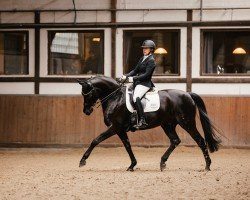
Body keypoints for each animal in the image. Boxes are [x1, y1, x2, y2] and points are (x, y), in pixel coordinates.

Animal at [76, 76, 221, 171]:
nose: (86, 111)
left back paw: (207, 166)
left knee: (200, 141)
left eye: (87, 94)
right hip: (167, 124)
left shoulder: (115, 127)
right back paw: (162, 163)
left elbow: (96, 140)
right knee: (175, 141)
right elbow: (127, 146)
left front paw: (83, 160)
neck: (115, 98)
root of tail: (188, 94)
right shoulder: (120, 130)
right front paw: (132, 165)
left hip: (187, 123)